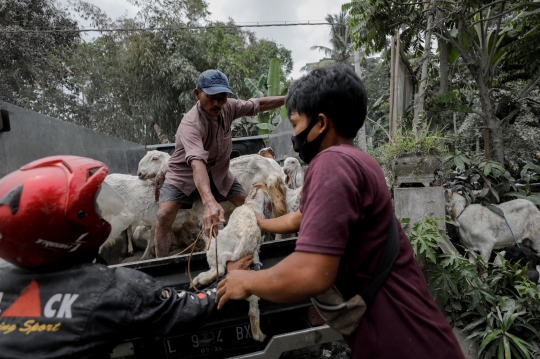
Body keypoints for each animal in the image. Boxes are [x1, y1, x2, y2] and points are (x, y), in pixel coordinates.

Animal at [193, 174, 288, 344]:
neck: (252, 204)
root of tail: (241, 244)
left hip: (214, 249)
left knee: (218, 270)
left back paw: (198, 280)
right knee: (253, 305)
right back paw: (259, 335)